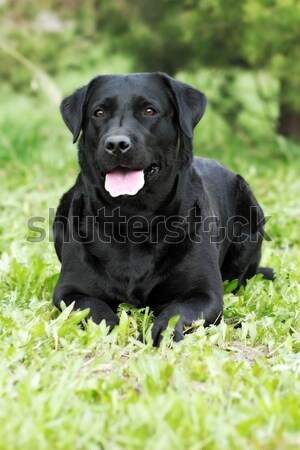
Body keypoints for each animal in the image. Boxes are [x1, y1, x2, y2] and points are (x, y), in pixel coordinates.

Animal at [53, 73, 272, 344]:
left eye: (150, 111)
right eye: (99, 112)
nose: (116, 144)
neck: (133, 218)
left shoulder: (205, 294)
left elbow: (176, 311)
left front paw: (161, 333)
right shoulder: (69, 292)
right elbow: (97, 310)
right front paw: (112, 330)